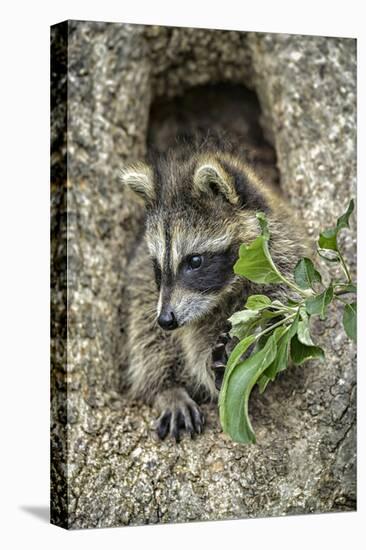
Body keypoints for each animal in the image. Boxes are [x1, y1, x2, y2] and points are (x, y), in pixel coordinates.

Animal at [121, 139, 308, 444]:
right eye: (158, 267)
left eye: (194, 261)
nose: (166, 320)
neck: (224, 293)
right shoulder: (148, 283)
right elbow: (161, 336)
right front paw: (172, 383)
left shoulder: (284, 252)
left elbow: (284, 311)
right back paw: (167, 387)